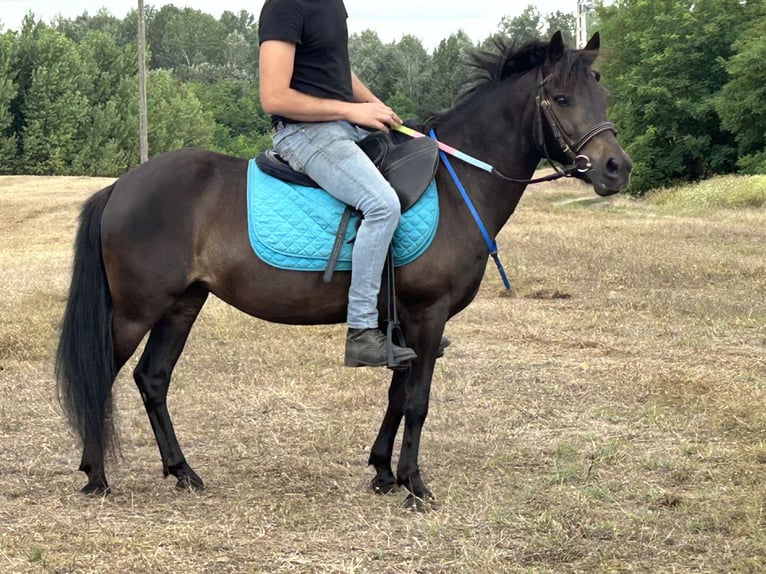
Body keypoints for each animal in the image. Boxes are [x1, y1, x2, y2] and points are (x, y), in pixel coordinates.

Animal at [55, 31, 631, 506]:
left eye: (602, 97)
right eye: (561, 99)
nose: (616, 168)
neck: (455, 183)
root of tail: (120, 187)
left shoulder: (402, 325)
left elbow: (397, 395)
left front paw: (383, 473)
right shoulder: (427, 315)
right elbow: (417, 400)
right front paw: (414, 485)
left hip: (182, 304)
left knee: (152, 379)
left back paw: (181, 471)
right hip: (136, 310)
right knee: (101, 374)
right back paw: (96, 475)